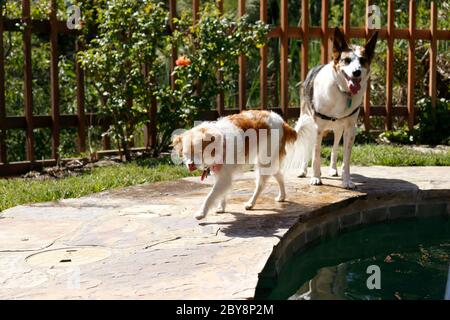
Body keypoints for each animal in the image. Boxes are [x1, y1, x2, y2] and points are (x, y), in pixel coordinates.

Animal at [294, 27, 378, 189]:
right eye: (347, 60)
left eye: (362, 60)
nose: (356, 72)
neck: (343, 92)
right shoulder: (317, 128)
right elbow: (316, 155)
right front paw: (315, 177)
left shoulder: (350, 129)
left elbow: (345, 159)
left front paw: (347, 181)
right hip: (306, 120)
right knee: (309, 148)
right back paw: (303, 170)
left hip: (339, 129)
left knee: (334, 147)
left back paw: (333, 169)